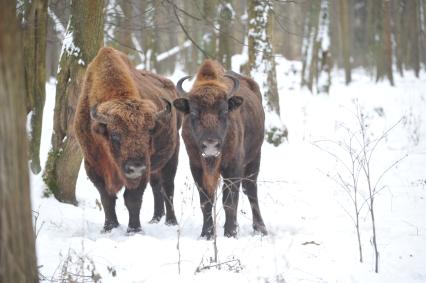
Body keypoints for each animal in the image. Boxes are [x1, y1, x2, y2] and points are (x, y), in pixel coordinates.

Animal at [74, 47, 181, 233]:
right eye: (115, 135)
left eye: (149, 133)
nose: (135, 167)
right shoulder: (93, 166)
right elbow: (106, 198)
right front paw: (109, 227)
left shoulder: (144, 169)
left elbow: (132, 199)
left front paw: (134, 230)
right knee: (156, 186)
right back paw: (155, 218)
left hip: (172, 155)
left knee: (168, 187)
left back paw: (171, 222)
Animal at [172, 60, 266, 240]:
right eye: (193, 113)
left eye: (223, 111)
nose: (210, 145)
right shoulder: (196, 166)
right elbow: (206, 201)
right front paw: (206, 234)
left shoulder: (233, 166)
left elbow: (230, 201)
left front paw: (230, 233)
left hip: (255, 157)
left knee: (251, 189)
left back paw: (260, 229)